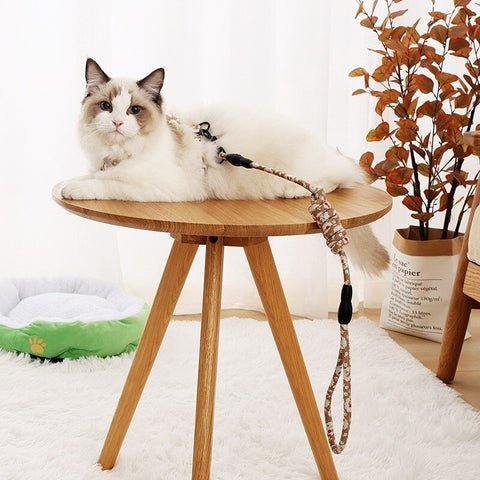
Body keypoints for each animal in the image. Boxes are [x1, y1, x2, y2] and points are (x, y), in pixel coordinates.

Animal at [61, 59, 390, 274]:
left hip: (301, 176)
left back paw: (297, 190)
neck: (117, 152)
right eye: (106, 107)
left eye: (134, 110)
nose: (117, 122)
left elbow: (105, 183)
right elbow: (94, 174)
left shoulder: (158, 186)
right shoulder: (103, 165)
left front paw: (73, 188)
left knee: (331, 182)